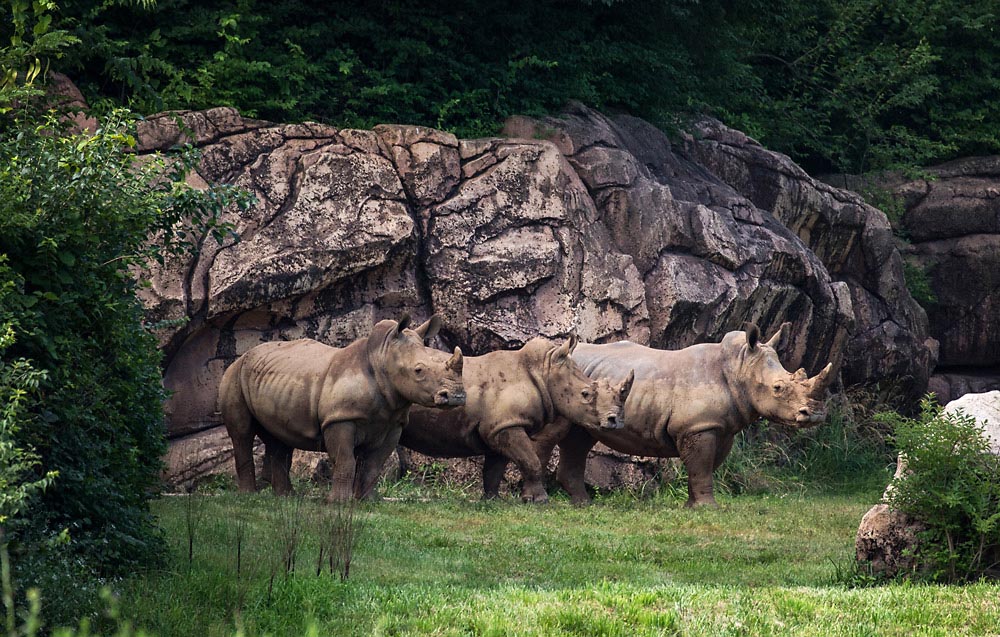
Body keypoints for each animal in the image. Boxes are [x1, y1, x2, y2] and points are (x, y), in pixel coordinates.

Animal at [218, 315, 465, 502]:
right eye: (418, 371)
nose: (457, 396)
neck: (382, 359)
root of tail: (245, 354)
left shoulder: (393, 423)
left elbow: (374, 464)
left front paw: (368, 501)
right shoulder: (340, 419)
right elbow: (346, 461)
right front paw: (339, 503)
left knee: (279, 437)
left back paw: (286, 497)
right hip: (234, 374)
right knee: (242, 434)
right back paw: (248, 496)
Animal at [399, 335, 635, 503]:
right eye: (586, 394)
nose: (615, 420)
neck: (543, 371)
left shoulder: (499, 426)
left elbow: (495, 468)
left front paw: (492, 500)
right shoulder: (507, 426)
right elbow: (530, 461)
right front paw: (539, 501)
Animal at [534, 323, 833, 507]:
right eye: (778, 388)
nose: (816, 415)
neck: (739, 367)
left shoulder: (719, 427)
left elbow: (704, 467)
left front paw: (692, 505)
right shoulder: (698, 426)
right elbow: (701, 466)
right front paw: (707, 508)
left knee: (580, 437)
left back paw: (583, 503)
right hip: (561, 384)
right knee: (554, 436)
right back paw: (538, 499)